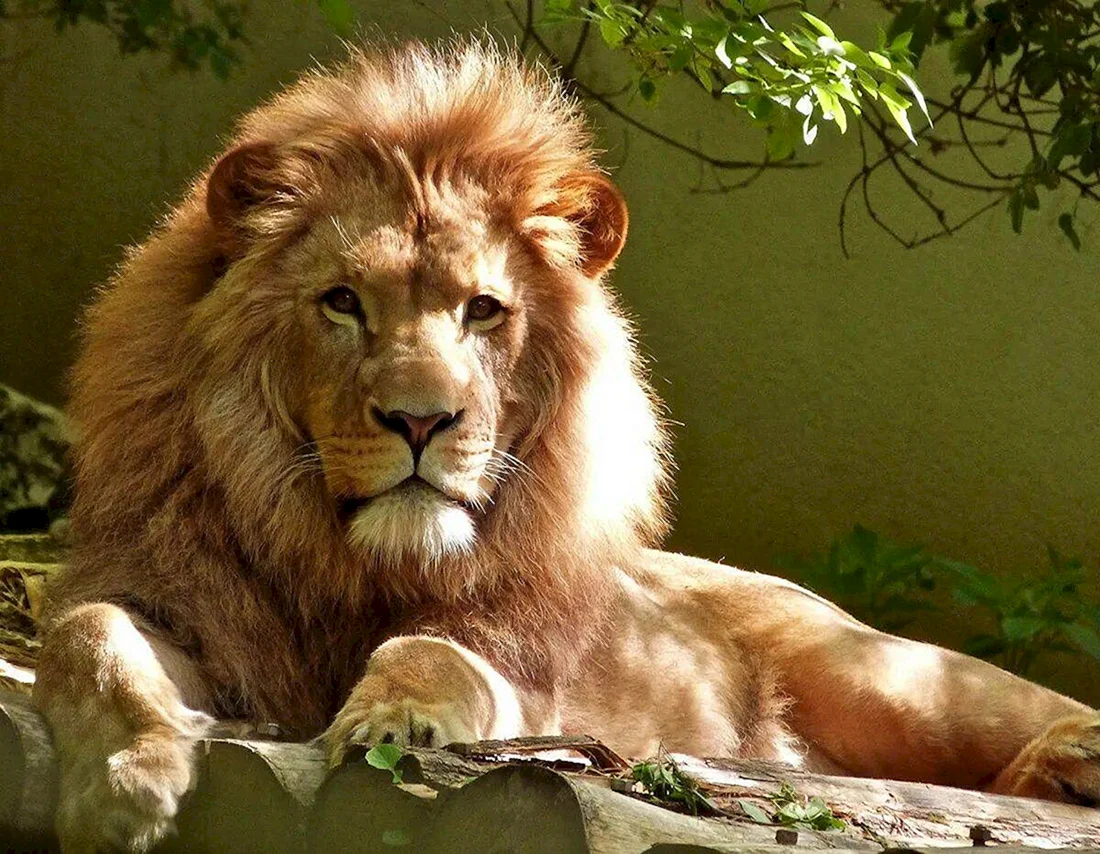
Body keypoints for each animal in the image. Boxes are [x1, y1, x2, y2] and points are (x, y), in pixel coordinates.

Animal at [33, 40, 1098, 851]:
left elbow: (437, 651)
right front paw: (128, 778)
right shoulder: (178, 598)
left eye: (483, 310)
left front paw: (394, 715)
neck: (350, 563)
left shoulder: (528, 685)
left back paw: (1071, 759)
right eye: (342, 302)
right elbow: (86, 634)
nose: (421, 421)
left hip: (884, 677)